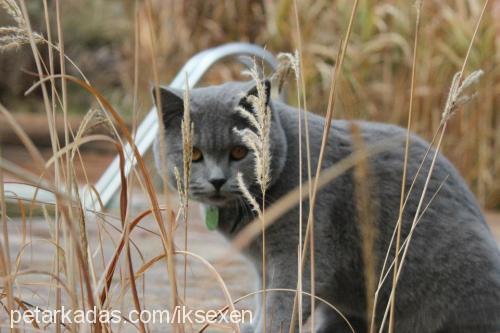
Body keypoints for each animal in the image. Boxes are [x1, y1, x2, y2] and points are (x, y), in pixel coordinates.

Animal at [153, 79, 500, 330]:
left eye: (239, 152)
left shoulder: (298, 255)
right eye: (194, 154)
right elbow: (264, 303)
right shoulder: (264, 266)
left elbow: (282, 308)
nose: (217, 180)